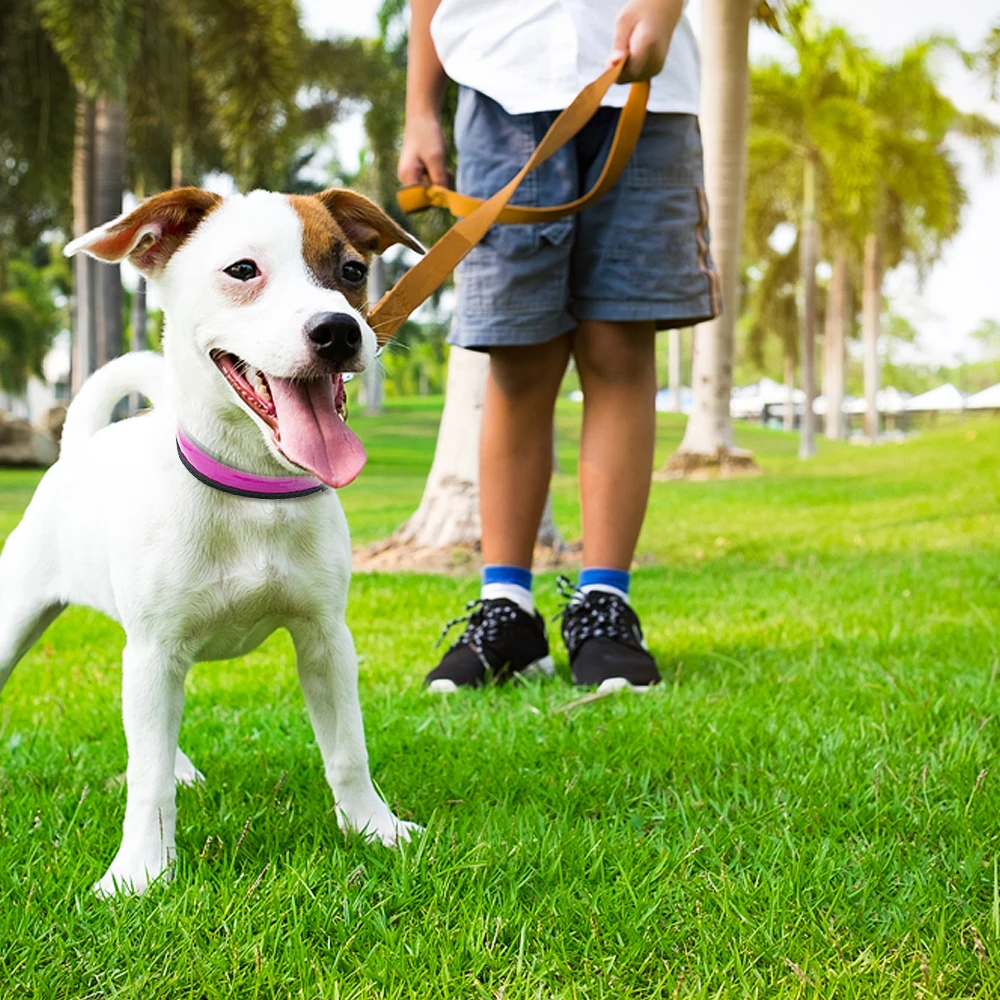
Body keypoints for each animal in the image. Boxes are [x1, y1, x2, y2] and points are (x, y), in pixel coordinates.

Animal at [0, 188, 424, 900]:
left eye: (353, 271)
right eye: (243, 270)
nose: (338, 331)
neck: (251, 489)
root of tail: (77, 449)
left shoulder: (326, 640)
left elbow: (347, 751)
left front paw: (374, 829)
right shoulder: (154, 650)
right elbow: (144, 783)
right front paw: (141, 871)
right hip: (25, 620)